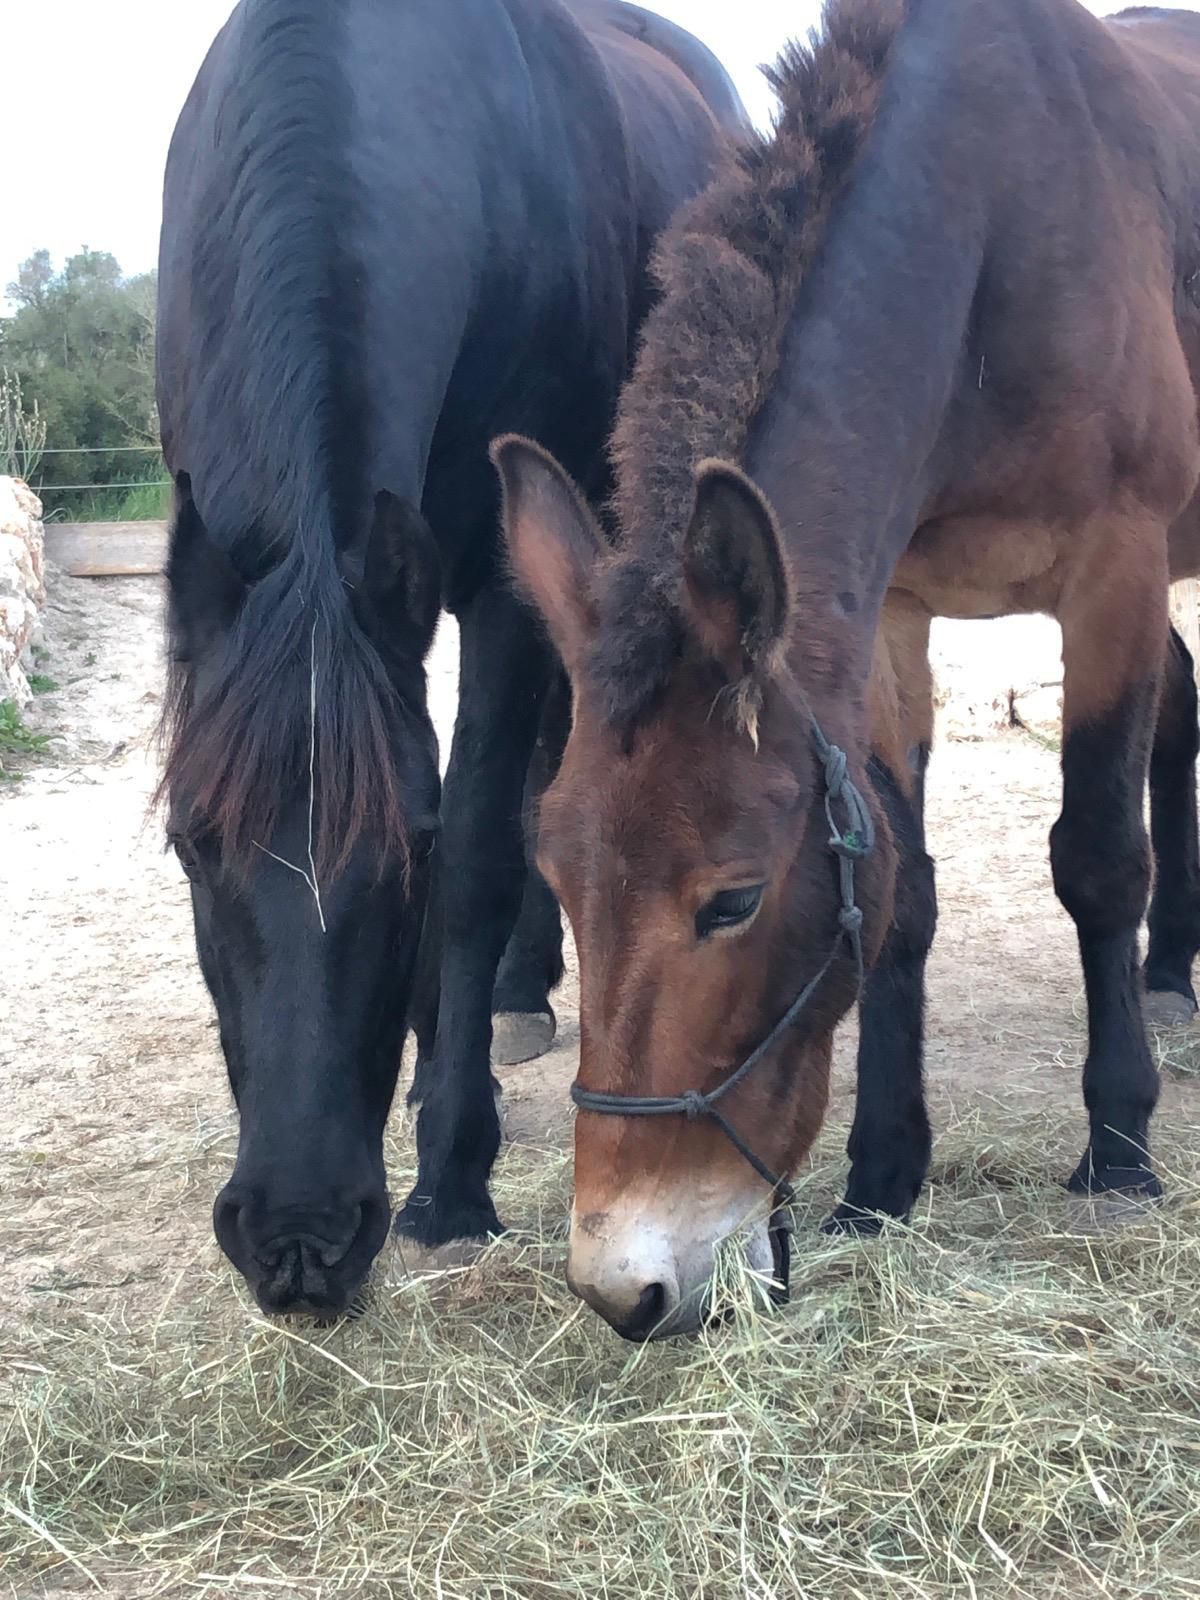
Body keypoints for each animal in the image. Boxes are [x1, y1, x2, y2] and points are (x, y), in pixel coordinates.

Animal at [156, 0, 745, 1316]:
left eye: (410, 851)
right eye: (190, 844)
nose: (302, 1239)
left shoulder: (501, 580)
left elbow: (486, 837)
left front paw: (453, 1169)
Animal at [494, 0, 1200, 1339]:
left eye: (731, 900)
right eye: (555, 880)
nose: (622, 1287)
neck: (988, 222)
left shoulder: (1116, 571)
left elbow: (1098, 857)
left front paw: (1119, 1146)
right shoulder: (886, 615)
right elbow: (902, 891)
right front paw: (882, 1176)